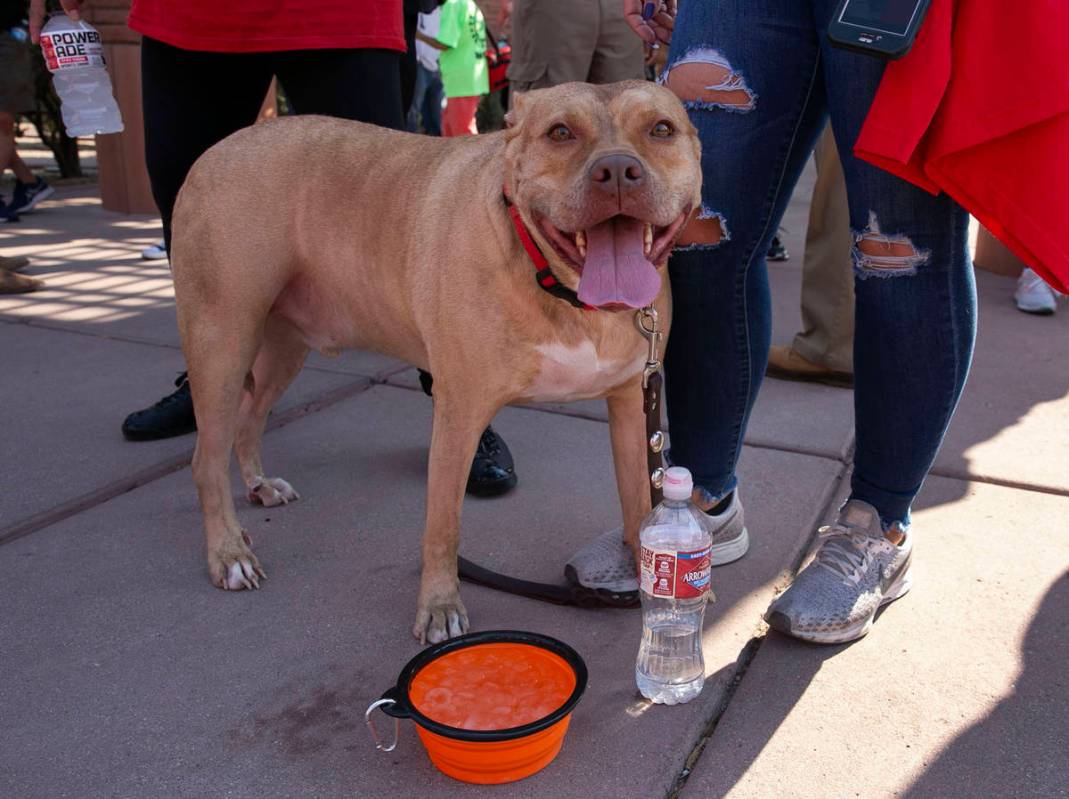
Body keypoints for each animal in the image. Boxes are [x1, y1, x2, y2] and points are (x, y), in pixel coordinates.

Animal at [168, 79, 701, 641]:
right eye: (560, 133)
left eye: (660, 129)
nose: (618, 170)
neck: (563, 290)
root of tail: (219, 149)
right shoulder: (459, 413)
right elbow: (443, 525)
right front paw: (440, 606)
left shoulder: (631, 406)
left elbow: (638, 501)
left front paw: (652, 583)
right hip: (223, 342)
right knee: (206, 459)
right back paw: (228, 553)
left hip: (283, 348)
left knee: (249, 420)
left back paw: (258, 484)